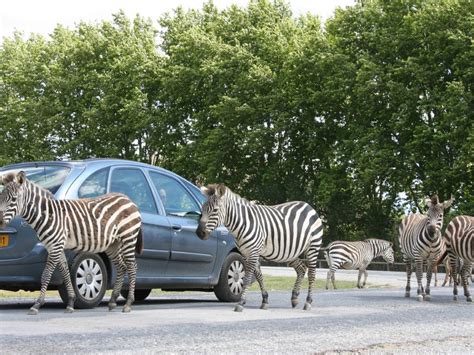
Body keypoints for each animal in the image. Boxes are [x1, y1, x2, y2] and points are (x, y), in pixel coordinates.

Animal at [0, 172, 143, 314]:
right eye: (1, 198)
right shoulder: (54, 246)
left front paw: (37, 304)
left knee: (132, 267)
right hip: (113, 244)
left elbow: (46, 275)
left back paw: (128, 303)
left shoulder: (56, 246)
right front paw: (70, 302)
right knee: (122, 267)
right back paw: (113, 301)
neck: (48, 215)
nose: (0, 222)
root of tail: (127, 199)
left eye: (13, 199)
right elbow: (65, 273)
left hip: (128, 238)